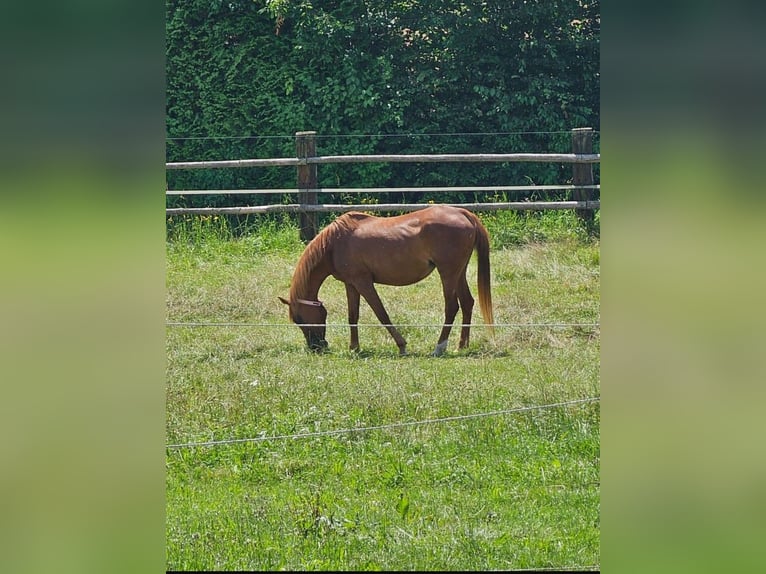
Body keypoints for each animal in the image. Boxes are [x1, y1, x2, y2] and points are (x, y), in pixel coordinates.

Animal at [280, 202, 496, 356]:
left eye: (300, 319)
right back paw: (462, 345)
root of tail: (463, 213)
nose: (316, 347)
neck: (335, 243)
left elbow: (381, 314)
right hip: (458, 273)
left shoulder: (363, 282)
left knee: (452, 307)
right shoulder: (351, 284)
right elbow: (352, 316)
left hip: (448, 273)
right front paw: (354, 348)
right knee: (467, 303)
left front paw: (401, 346)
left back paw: (439, 347)